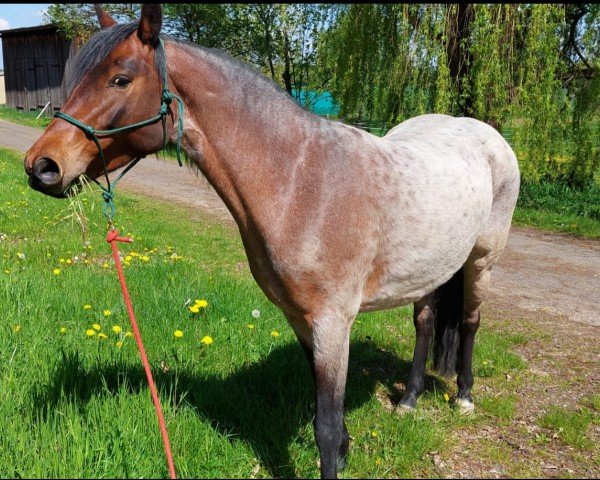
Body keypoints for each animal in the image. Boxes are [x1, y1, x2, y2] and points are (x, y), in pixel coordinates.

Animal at [23, 4, 520, 480]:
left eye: (120, 79)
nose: (41, 166)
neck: (300, 184)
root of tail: (485, 133)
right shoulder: (299, 317)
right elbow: (326, 410)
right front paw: (346, 451)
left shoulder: (332, 322)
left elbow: (325, 425)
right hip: (431, 270)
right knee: (425, 323)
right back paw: (410, 400)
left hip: (482, 261)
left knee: (470, 321)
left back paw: (464, 396)